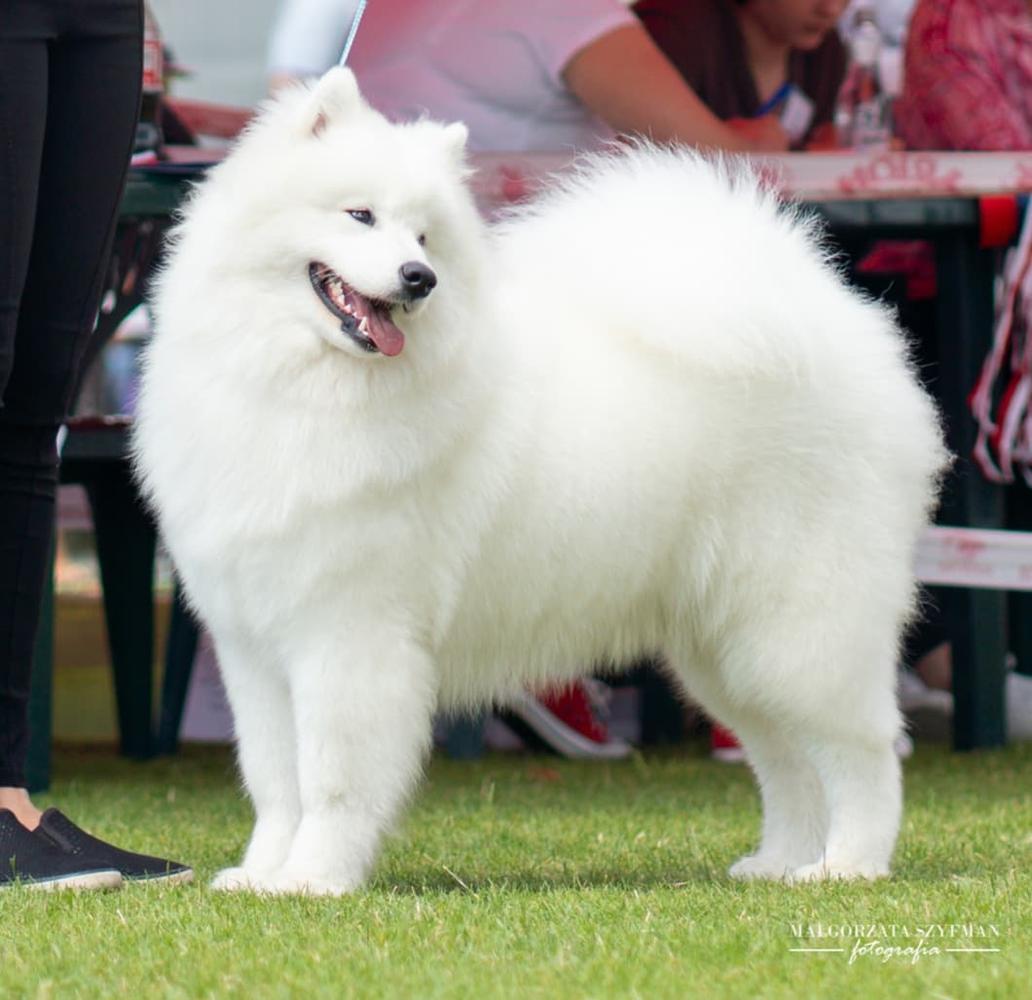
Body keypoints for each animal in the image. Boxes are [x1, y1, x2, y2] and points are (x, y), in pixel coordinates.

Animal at [133, 70, 945, 895]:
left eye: (424, 238)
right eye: (360, 215)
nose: (419, 279)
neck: (299, 384)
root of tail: (836, 323)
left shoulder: (349, 638)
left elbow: (331, 782)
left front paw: (314, 880)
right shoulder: (255, 648)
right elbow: (275, 781)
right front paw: (260, 875)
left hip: (798, 628)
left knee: (863, 750)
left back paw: (849, 865)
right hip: (727, 649)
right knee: (785, 761)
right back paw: (779, 863)